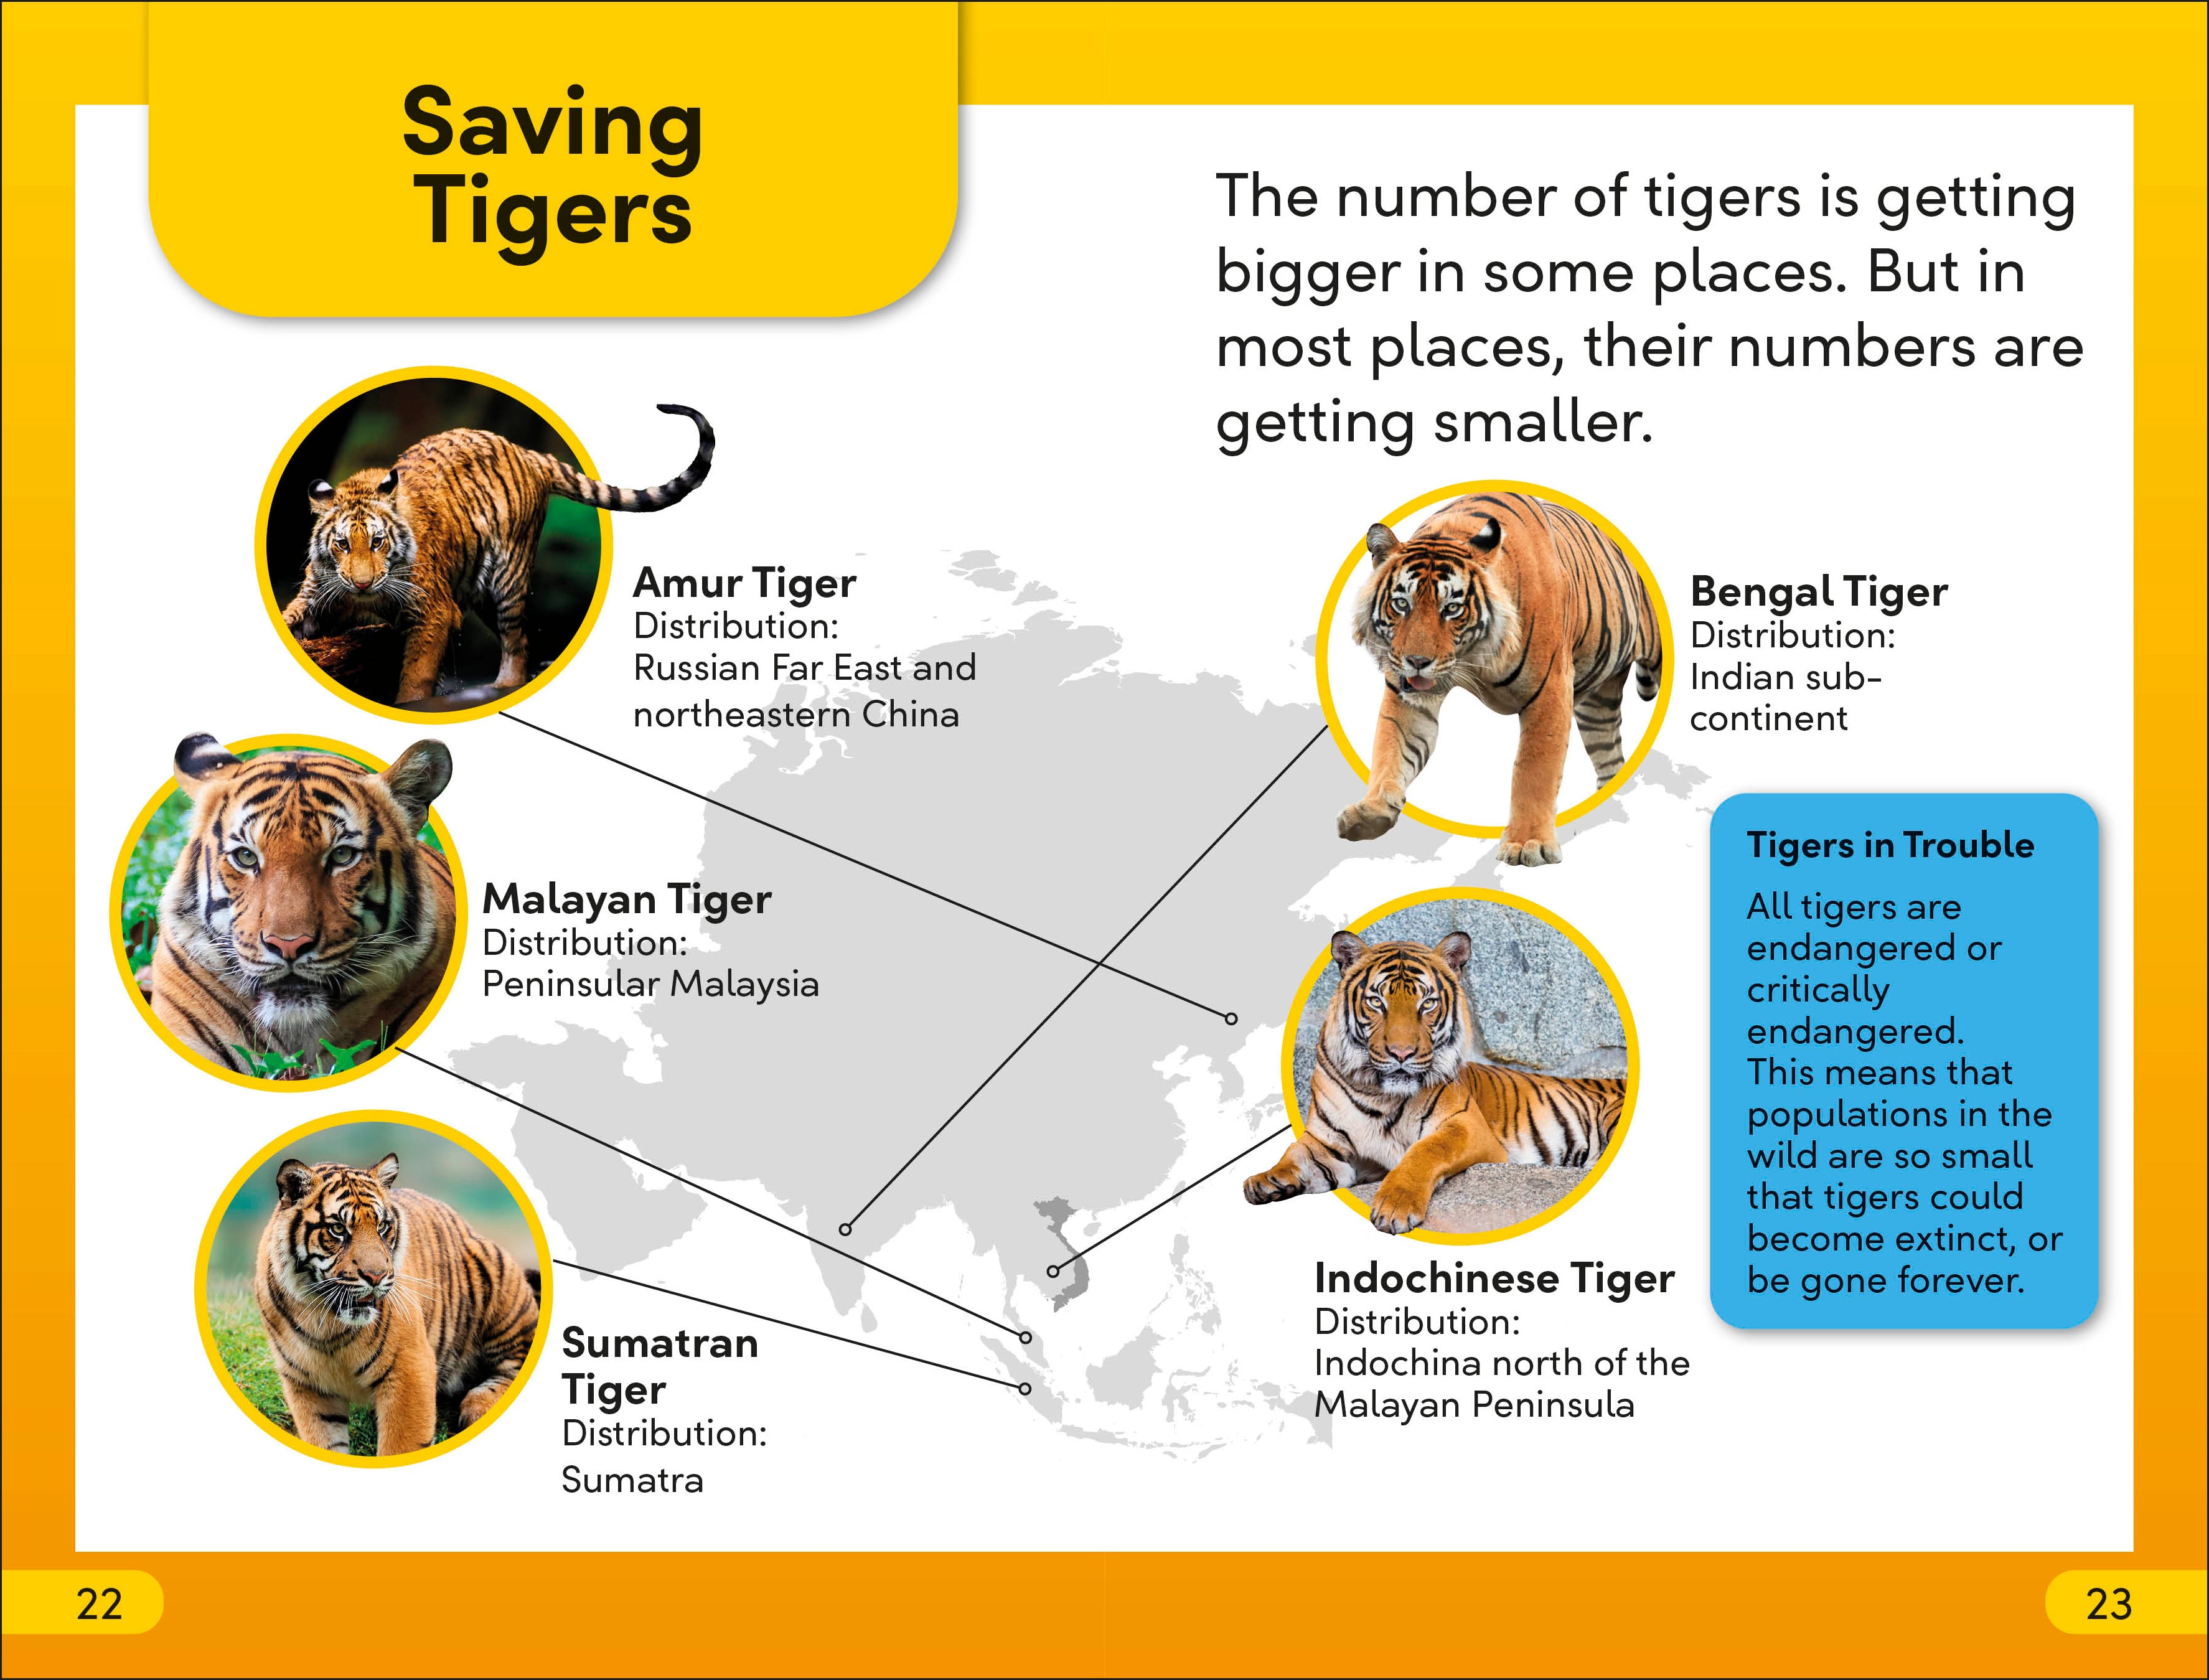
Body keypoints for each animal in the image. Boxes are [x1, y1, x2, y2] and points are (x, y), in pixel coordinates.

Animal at [253, 1152, 541, 1455]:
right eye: (338, 1229)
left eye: (382, 1227)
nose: (376, 1276)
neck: (326, 1322)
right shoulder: (307, 1385)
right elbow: (324, 1440)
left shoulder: (409, 1368)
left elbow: (400, 1446)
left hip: (499, 1280)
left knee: (514, 1364)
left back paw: (477, 1406)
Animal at [282, 402, 713, 704]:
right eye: (342, 543)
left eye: (377, 542)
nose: (361, 584)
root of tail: (526, 451)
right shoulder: (318, 598)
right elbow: (292, 620)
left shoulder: (433, 612)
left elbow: (417, 678)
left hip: (509, 578)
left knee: (518, 642)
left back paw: (502, 687)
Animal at [1245, 930, 1625, 1234]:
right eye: (1376, 1001)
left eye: (1427, 1003)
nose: (1401, 1053)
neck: (1378, 1093)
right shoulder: (1327, 1141)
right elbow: (1295, 1152)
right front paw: (1264, 1181)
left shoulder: (1468, 1127)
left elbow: (1426, 1150)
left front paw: (1395, 1206)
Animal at [1337, 491, 1663, 865]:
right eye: (1402, 604)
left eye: (1452, 609)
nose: (1417, 661)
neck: (1476, 658)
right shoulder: (1407, 698)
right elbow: (1391, 749)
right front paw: (1371, 813)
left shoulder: (1550, 691)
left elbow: (1534, 770)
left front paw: (1527, 843)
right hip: (1596, 711)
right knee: (1610, 760)